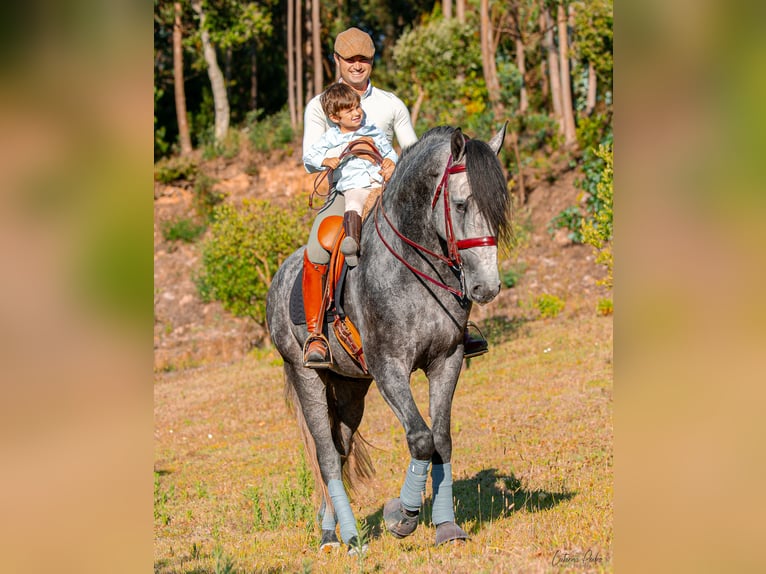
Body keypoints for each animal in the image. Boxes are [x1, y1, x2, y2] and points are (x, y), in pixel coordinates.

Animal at [268, 125, 512, 552]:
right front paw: (402, 516)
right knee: (326, 455)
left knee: (340, 449)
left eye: (498, 206)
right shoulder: (389, 369)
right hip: (306, 376)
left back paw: (332, 527)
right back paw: (342, 537)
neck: (412, 267)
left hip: (351, 389)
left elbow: (441, 439)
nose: (487, 287)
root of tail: (280, 276)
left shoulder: (446, 360)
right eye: (461, 204)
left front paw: (446, 526)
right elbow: (420, 438)